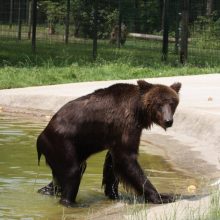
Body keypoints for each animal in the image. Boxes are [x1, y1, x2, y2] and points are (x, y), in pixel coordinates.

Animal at [37, 80, 181, 206]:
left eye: (172, 103)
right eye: (159, 104)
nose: (168, 121)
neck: (139, 112)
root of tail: (40, 137)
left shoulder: (118, 135)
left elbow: (113, 163)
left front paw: (114, 193)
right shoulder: (126, 124)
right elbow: (127, 158)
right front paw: (162, 196)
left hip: (77, 147)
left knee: (67, 172)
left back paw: (47, 190)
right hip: (62, 142)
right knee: (72, 171)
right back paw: (70, 202)